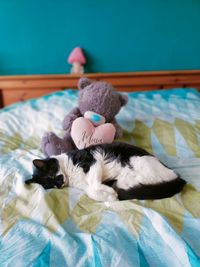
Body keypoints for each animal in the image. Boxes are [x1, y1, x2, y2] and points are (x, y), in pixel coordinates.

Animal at [25, 142, 187, 201]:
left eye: (51, 175)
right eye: (50, 185)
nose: (59, 184)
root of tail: (179, 179)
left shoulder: (93, 161)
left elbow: (94, 183)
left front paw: (110, 194)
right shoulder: (85, 186)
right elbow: (91, 191)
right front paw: (109, 195)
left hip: (138, 162)